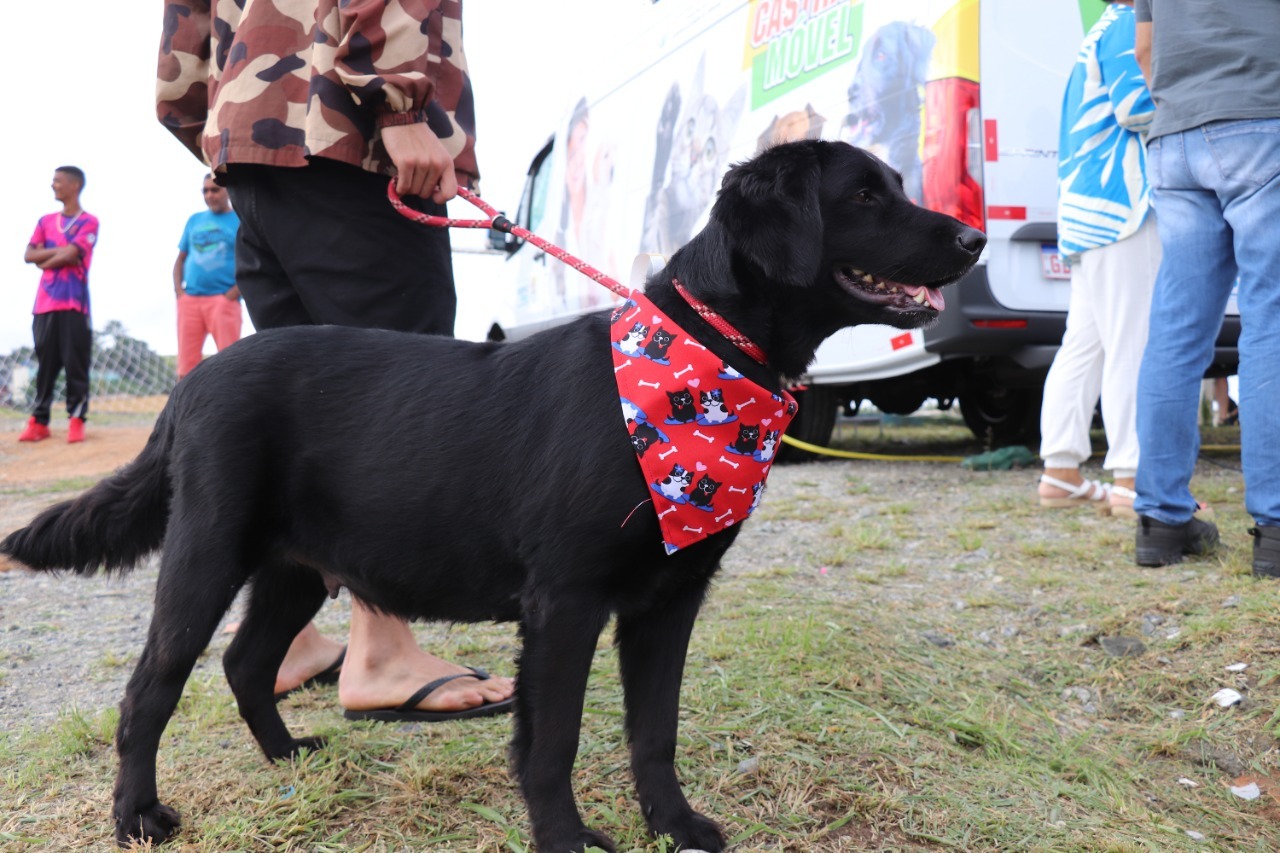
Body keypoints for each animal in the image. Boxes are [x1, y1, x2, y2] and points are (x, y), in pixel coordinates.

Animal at [2, 140, 977, 850]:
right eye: (864, 197)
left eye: (895, 185)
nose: (973, 238)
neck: (700, 368)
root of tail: (191, 383)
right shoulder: (566, 601)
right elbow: (552, 742)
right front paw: (568, 840)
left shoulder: (669, 601)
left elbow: (654, 730)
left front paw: (675, 825)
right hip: (207, 553)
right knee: (152, 687)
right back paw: (138, 816)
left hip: (296, 568)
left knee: (246, 664)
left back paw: (288, 759)